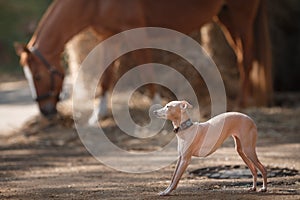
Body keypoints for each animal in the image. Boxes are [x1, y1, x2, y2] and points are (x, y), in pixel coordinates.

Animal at [14, 0, 272, 118]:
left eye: (38, 76)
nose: (46, 111)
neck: (93, 4)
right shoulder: (109, 37)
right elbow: (106, 75)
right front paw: (98, 114)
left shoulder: (135, 32)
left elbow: (146, 69)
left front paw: (157, 105)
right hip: (225, 14)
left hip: (240, 14)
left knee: (246, 57)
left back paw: (243, 103)